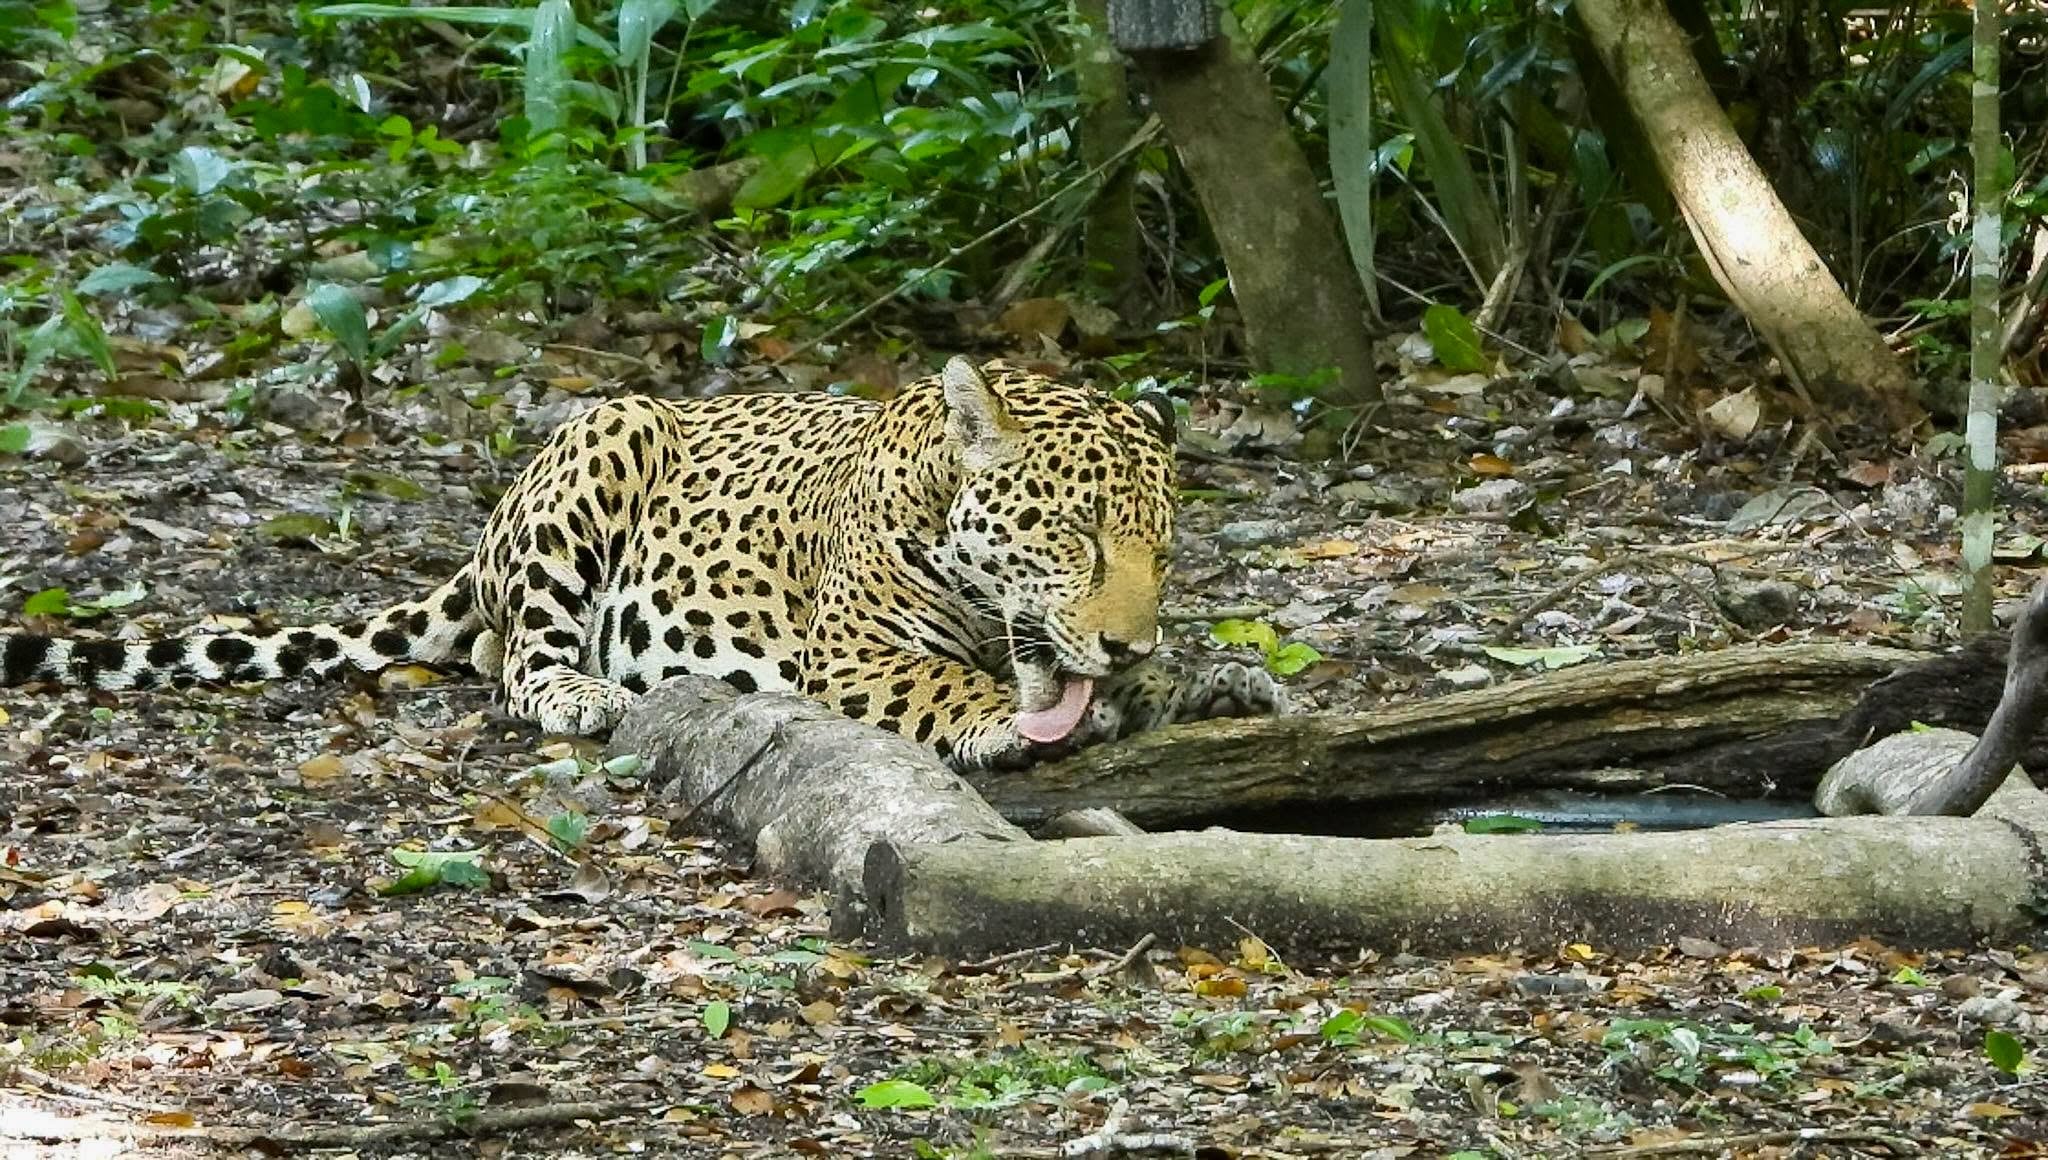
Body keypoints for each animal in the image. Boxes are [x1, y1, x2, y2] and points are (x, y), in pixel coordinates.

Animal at [0, 357, 1279, 770]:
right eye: (1075, 534)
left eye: (1160, 548)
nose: (1125, 636)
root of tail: (480, 538)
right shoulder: (853, 656)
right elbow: (945, 681)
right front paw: (999, 718)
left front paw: (1212, 679)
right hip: (608, 437)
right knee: (516, 656)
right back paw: (583, 692)